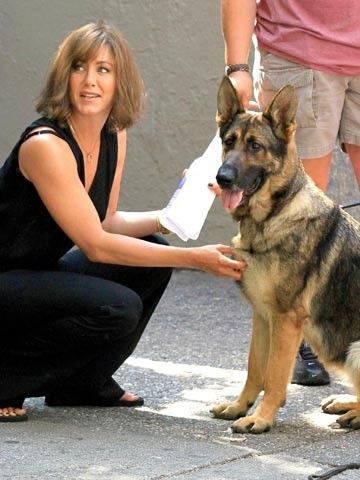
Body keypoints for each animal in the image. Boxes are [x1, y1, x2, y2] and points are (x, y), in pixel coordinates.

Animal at [211, 77, 360, 434]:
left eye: (255, 146)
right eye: (228, 142)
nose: (222, 178)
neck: (271, 218)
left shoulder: (285, 321)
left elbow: (276, 376)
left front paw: (261, 418)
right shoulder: (263, 316)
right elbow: (255, 369)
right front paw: (240, 407)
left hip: (355, 349)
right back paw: (346, 404)